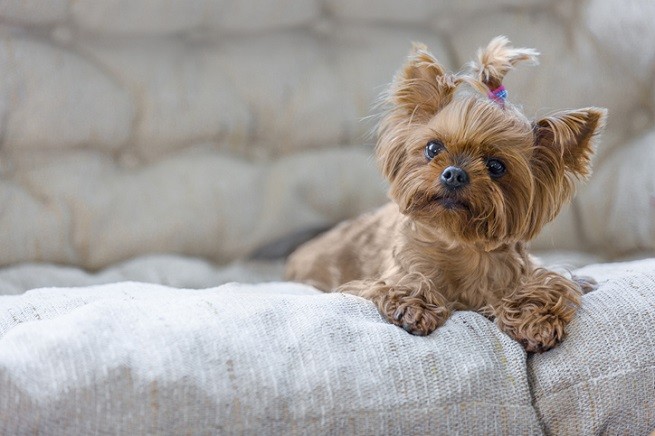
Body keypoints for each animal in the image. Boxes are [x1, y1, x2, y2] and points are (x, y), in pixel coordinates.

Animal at [284, 35, 608, 352]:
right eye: (433, 148)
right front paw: (414, 307)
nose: (454, 174)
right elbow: (405, 283)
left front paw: (535, 320)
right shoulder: (387, 275)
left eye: (496, 166)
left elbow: (549, 285)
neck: (459, 244)